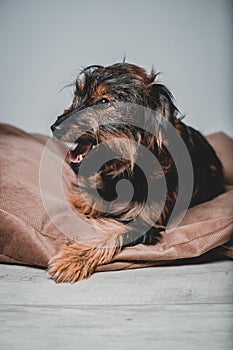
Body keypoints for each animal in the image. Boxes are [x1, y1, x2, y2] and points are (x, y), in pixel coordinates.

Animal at [47, 62, 224, 282]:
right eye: (77, 95)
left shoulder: (146, 222)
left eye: (103, 101)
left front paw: (73, 259)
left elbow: (114, 232)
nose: (55, 127)